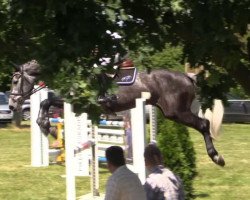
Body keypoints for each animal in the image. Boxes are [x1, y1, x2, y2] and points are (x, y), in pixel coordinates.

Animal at [8, 60, 226, 166]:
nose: (11, 105)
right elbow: (46, 104)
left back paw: (217, 158)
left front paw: (46, 126)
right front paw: (48, 129)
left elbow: (46, 101)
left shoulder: (79, 104)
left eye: (15, 80)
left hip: (176, 112)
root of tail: (188, 77)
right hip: (173, 112)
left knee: (204, 125)